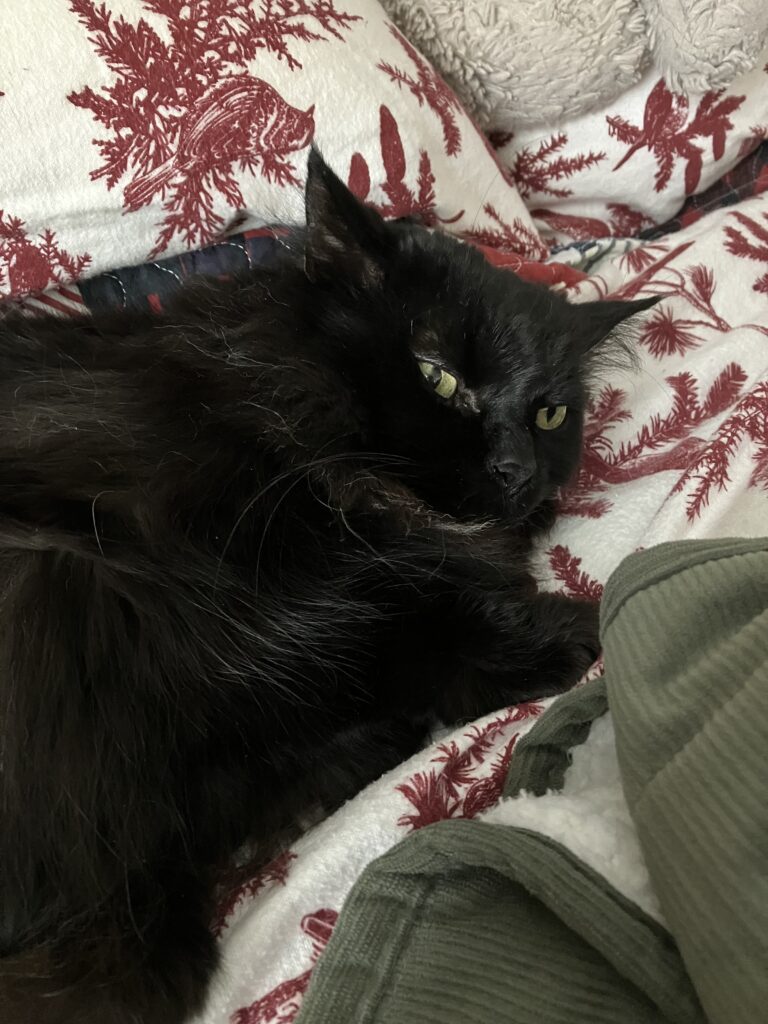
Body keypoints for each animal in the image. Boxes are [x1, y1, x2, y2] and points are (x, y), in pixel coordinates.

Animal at [0, 151, 655, 1024]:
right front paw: (568, 632)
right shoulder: (232, 589)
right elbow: (387, 634)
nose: (517, 469)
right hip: (64, 583)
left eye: (549, 414)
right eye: (437, 375)